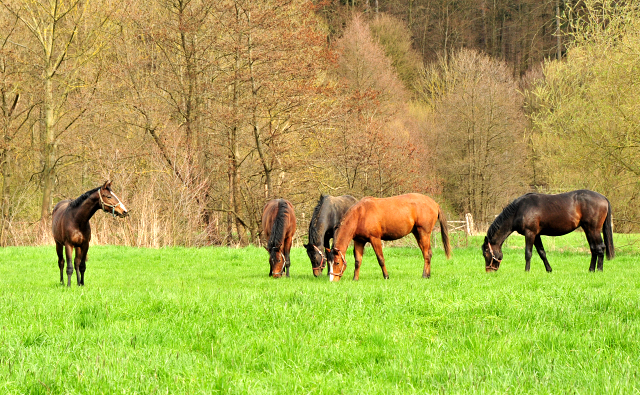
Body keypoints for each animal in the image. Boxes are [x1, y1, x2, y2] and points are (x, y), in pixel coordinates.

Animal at [484, 190, 616, 274]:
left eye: (486, 253)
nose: (488, 271)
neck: (519, 209)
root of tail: (603, 198)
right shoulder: (536, 235)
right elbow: (542, 253)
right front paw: (549, 270)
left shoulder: (530, 233)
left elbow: (528, 253)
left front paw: (526, 271)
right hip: (588, 229)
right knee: (593, 249)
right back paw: (591, 270)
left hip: (594, 229)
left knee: (600, 248)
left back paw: (599, 270)